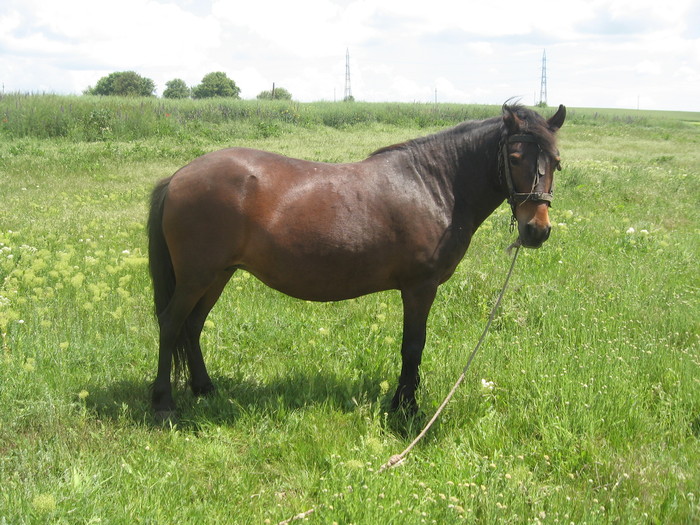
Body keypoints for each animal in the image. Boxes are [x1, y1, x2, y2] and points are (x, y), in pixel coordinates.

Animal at [146, 102, 564, 418]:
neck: (433, 185)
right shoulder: (419, 288)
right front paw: (406, 408)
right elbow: (413, 345)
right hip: (197, 277)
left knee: (193, 326)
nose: (537, 230)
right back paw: (164, 402)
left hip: (217, 275)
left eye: (557, 161)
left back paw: (204, 388)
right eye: (515, 158)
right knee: (171, 324)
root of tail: (178, 177)